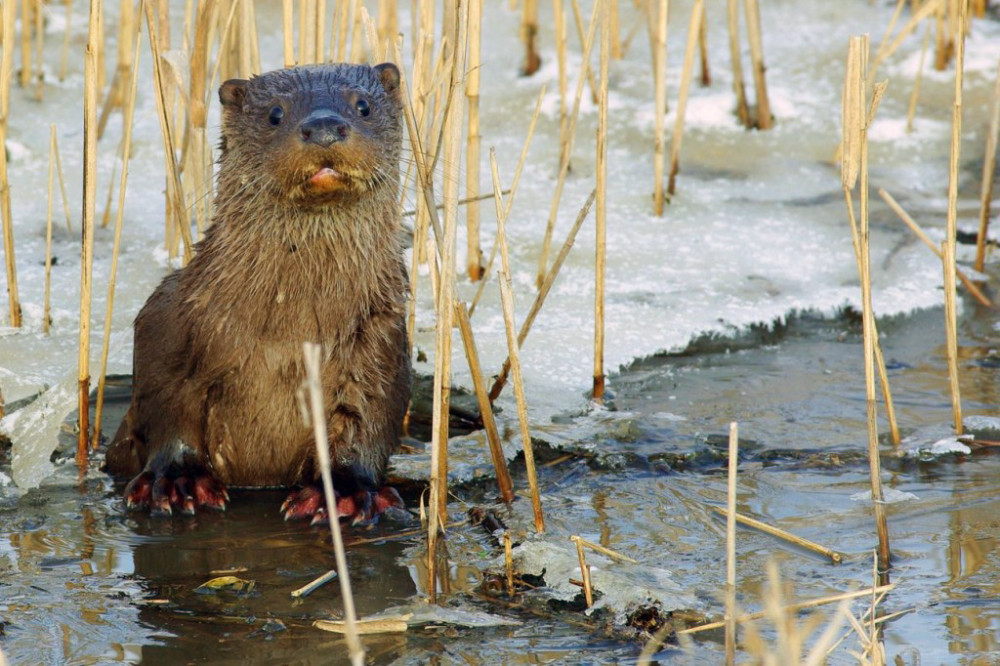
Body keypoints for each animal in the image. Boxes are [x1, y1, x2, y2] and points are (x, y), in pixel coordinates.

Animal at [105, 62, 410, 524]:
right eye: (275, 114)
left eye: (363, 106)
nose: (324, 127)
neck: (292, 333)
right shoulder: (168, 324)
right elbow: (166, 407)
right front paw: (177, 480)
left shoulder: (383, 342)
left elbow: (367, 421)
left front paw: (346, 492)